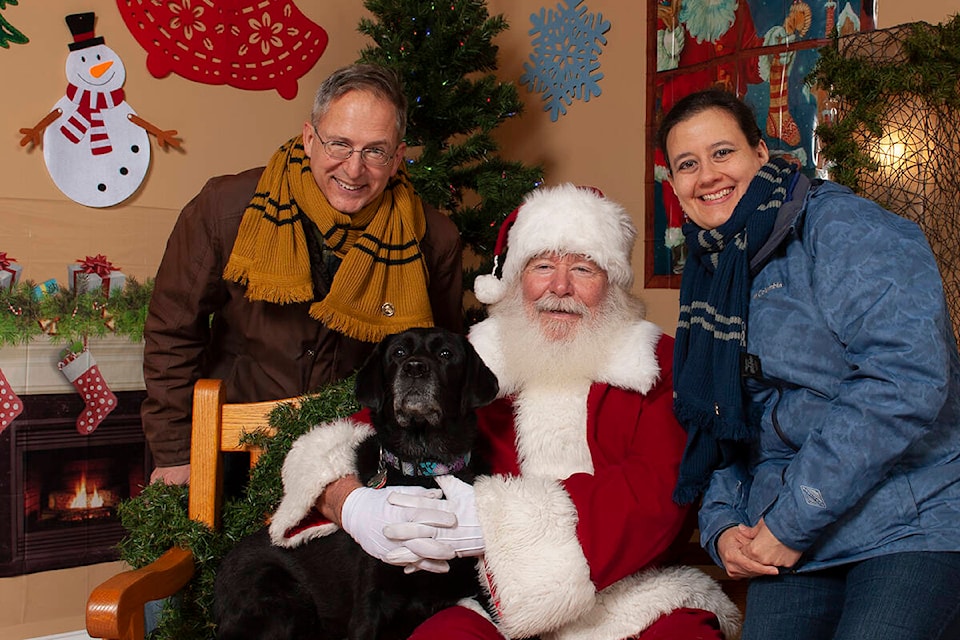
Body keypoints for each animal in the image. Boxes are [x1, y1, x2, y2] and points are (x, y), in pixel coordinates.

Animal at [214, 328, 498, 636]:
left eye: (446, 353)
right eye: (399, 352)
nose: (414, 368)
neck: (423, 467)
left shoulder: (479, 588)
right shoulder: (371, 601)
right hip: (282, 603)